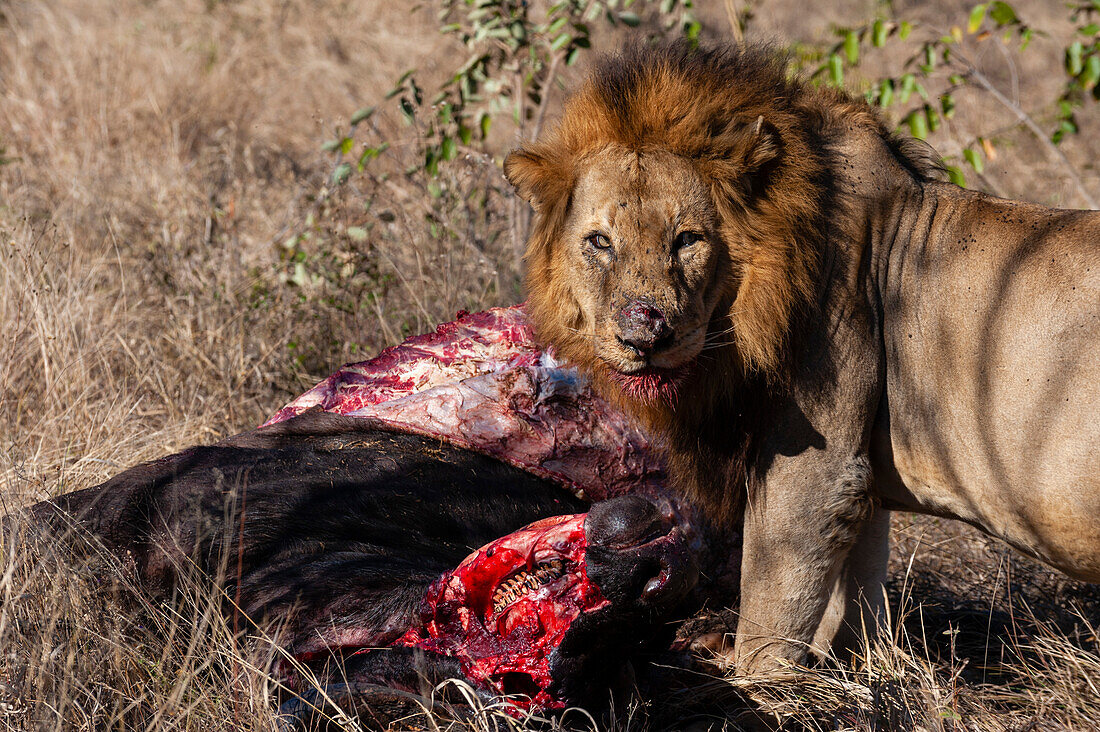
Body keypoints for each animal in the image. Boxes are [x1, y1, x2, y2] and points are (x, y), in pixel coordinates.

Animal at [503, 42, 1100, 673]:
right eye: (599, 242)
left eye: (688, 240)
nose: (645, 334)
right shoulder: (862, 476)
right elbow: (855, 594)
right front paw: (853, 669)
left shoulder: (817, 462)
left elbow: (771, 601)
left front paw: (752, 680)